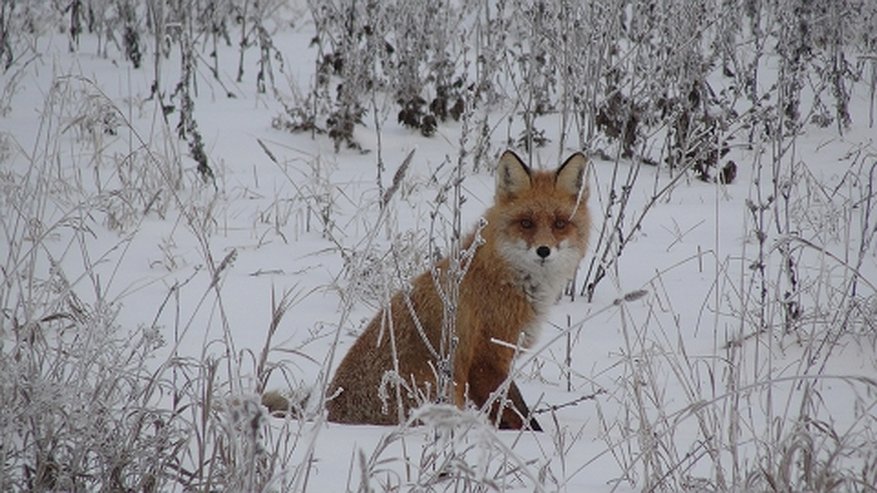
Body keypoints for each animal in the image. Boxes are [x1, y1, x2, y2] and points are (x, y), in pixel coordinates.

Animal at [322, 152, 588, 428]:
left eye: (560, 223)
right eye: (526, 223)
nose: (544, 251)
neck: (502, 276)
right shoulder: (486, 360)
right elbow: (520, 416)